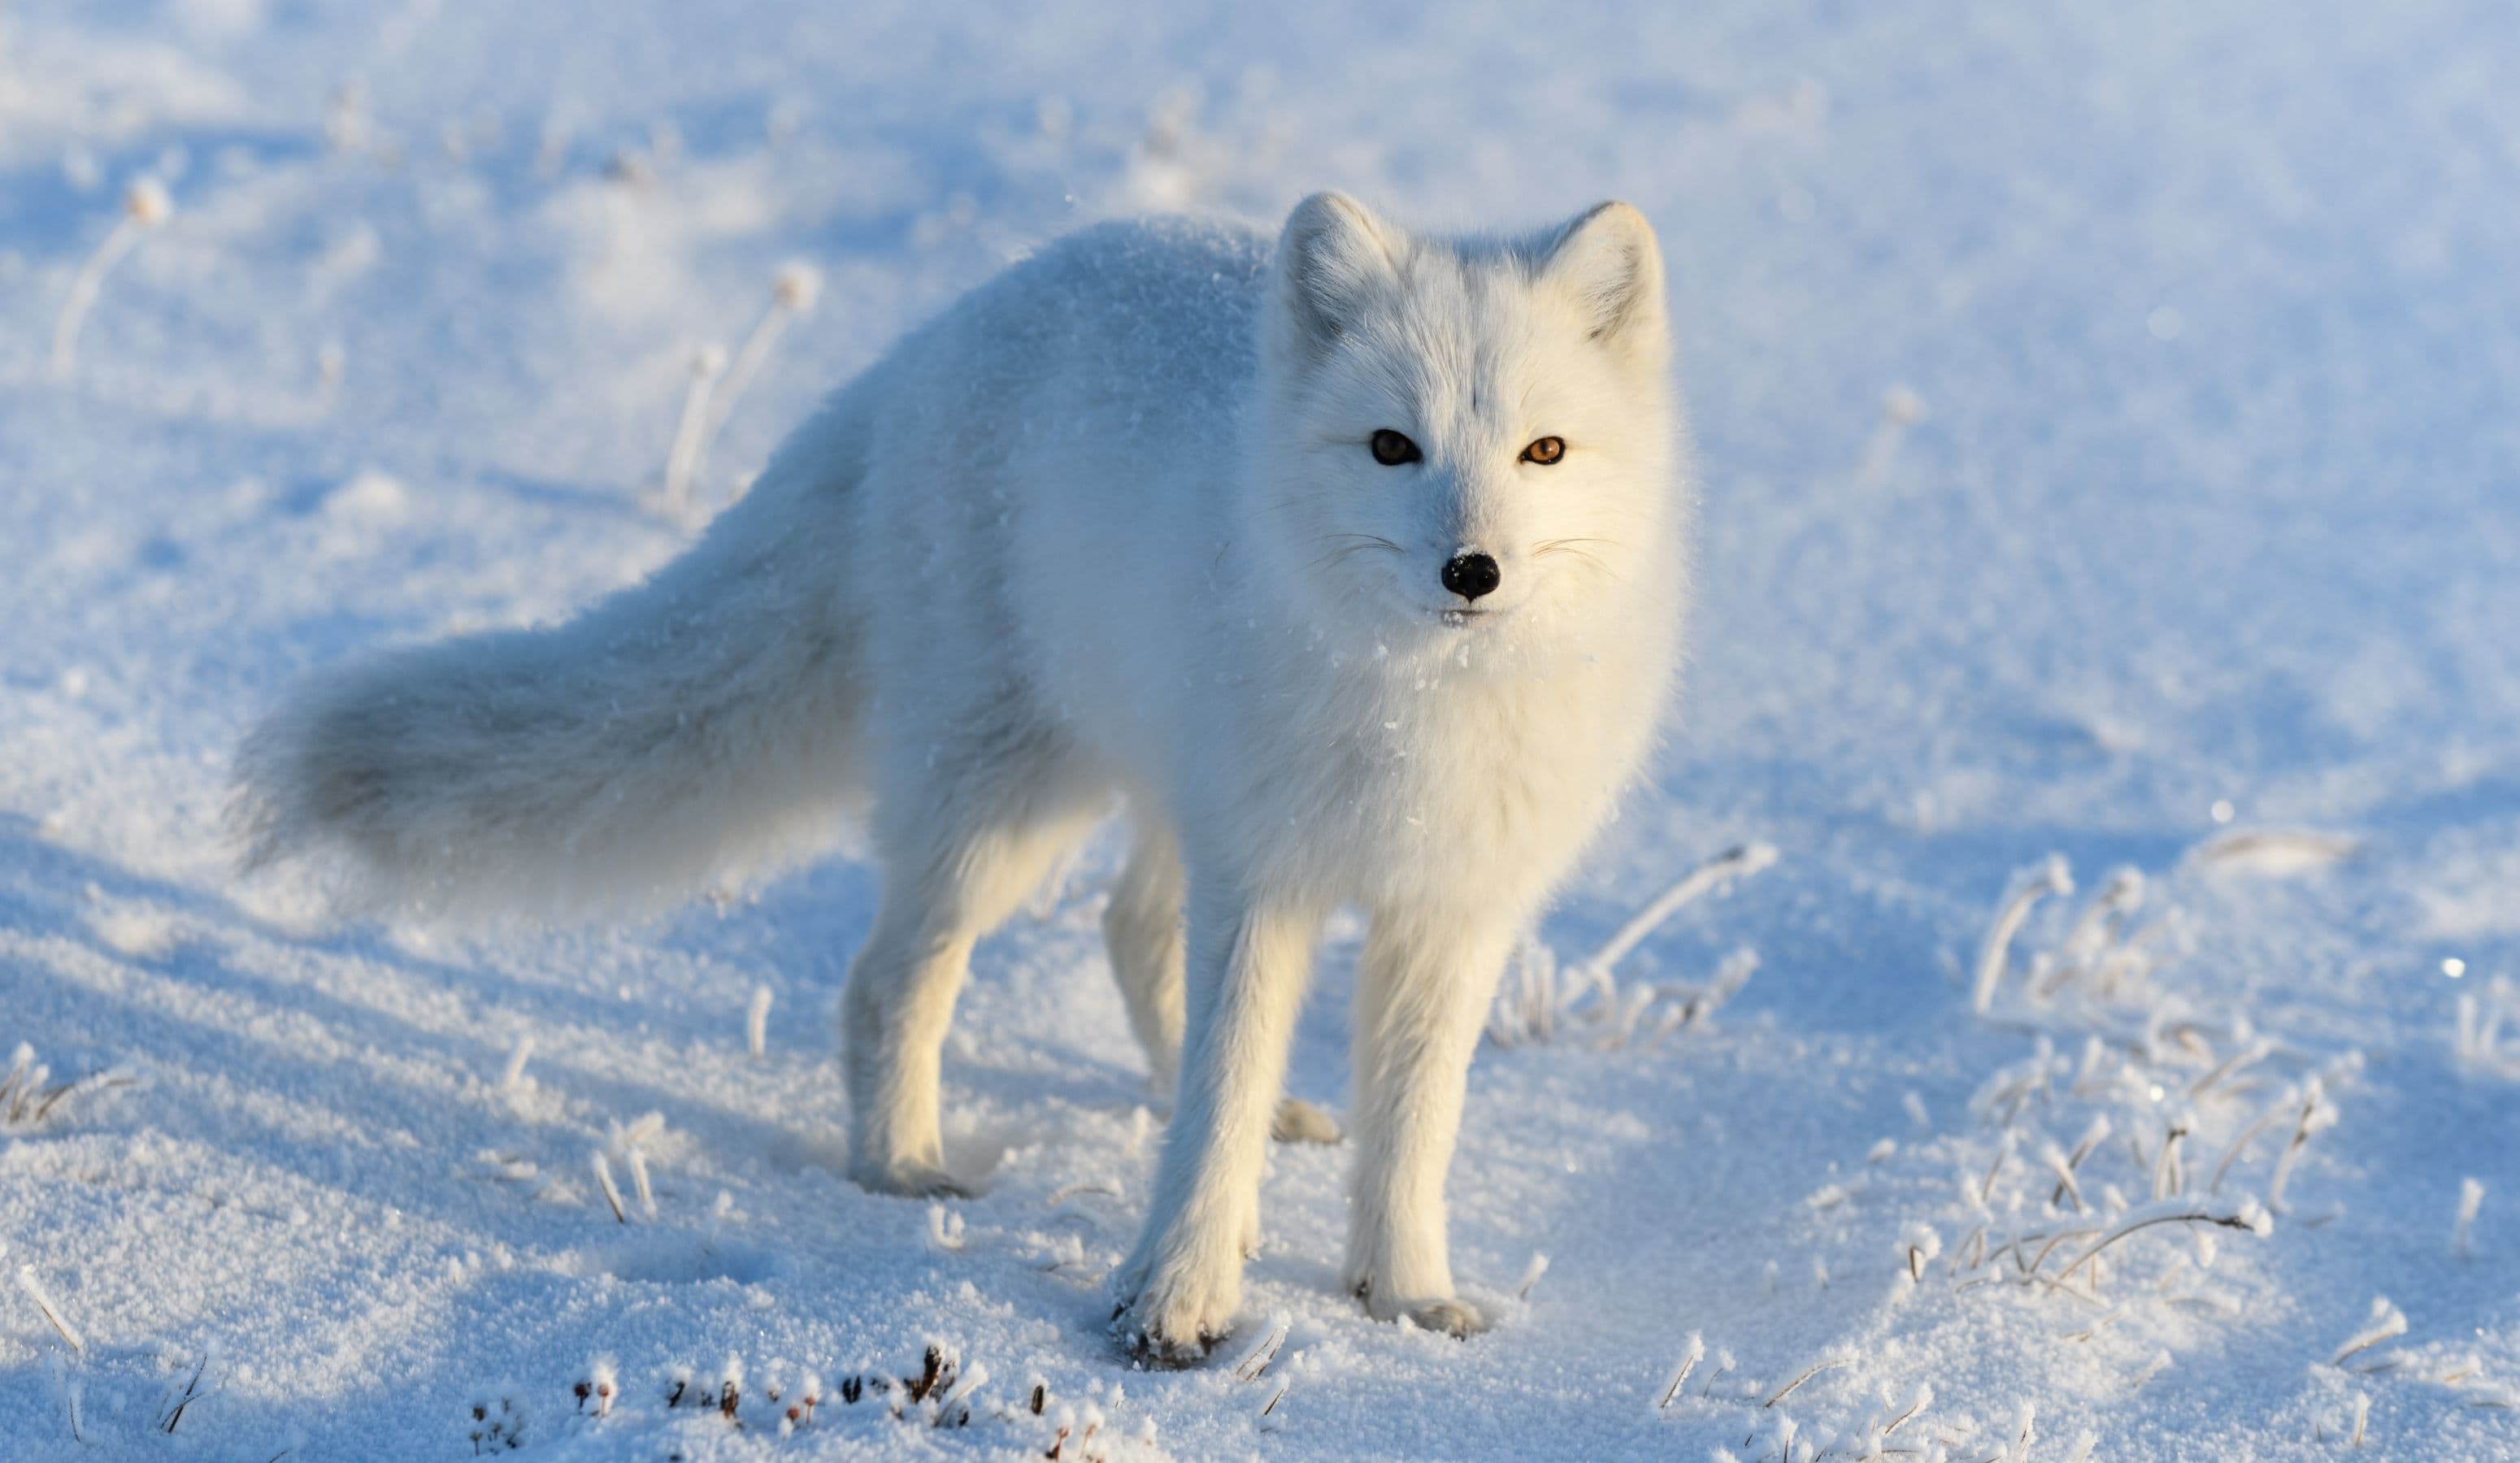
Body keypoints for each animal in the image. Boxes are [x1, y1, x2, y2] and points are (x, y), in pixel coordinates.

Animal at [234, 191, 1691, 1364]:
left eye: (1544, 452)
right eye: (1393, 447)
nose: (1472, 571)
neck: (1422, 718)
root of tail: (927, 345)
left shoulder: (1455, 907)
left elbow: (1415, 1127)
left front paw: (1407, 1299)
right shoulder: (1265, 879)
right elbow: (1213, 1110)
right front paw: (1175, 1301)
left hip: (1146, 788)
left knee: (1128, 928)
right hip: (1003, 806)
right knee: (892, 980)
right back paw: (903, 1170)